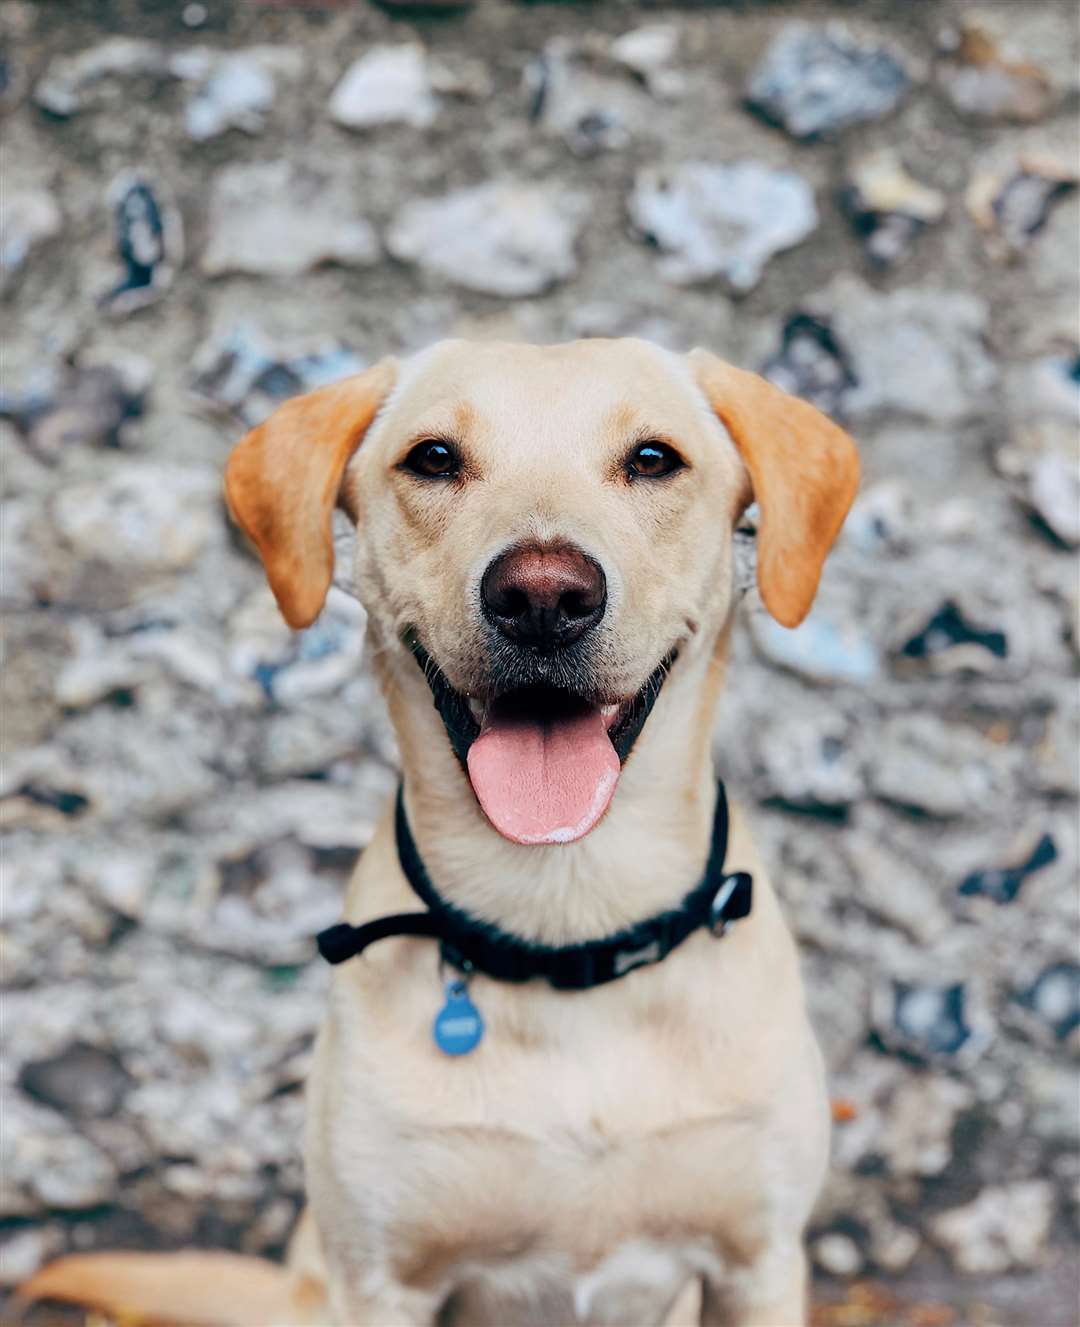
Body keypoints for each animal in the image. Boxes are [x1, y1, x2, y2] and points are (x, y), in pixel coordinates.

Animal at [19, 342, 865, 1327]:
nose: (543, 595)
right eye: (434, 458)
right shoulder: (382, 1279)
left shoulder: (757, 1264)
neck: (565, 921)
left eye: (654, 459)